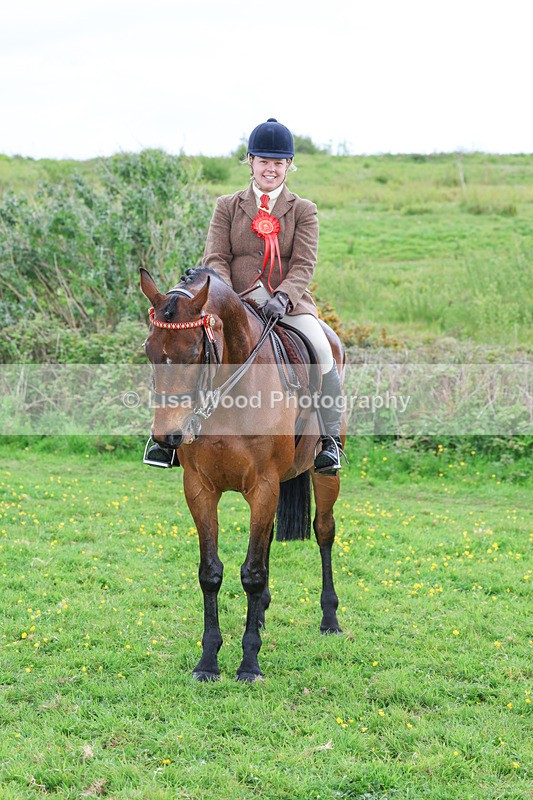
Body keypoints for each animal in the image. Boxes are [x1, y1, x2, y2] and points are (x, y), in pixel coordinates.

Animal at [140, 266, 345, 682]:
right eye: (149, 351)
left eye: (195, 354)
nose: (168, 436)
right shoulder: (199, 489)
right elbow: (211, 572)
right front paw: (208, 661)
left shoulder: (263, 487)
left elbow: (251, 573)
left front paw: (249, 663)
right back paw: (262, 615)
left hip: (323, 475)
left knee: (324, 532)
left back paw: (329, 620)